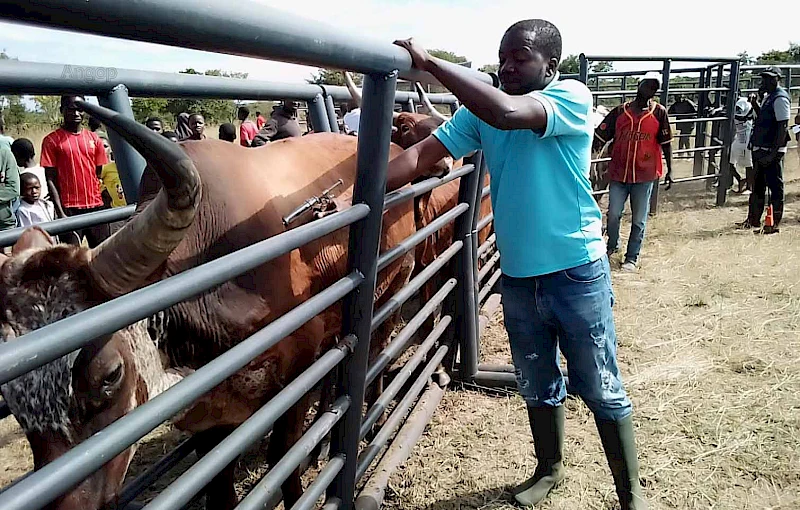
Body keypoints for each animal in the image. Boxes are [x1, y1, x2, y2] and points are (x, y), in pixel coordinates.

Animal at [0, 102, 438, 510]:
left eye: (111, 374)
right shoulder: (211, 415)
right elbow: (219, 484)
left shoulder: (297, 371)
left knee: (376, 353)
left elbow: (283, 456)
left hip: (394, 286)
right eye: (11, 397)